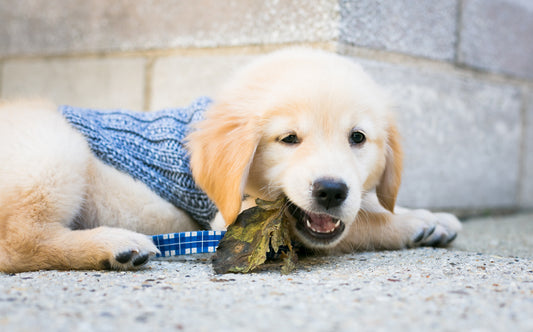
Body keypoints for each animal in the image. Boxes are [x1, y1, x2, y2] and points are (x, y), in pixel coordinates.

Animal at [0, 48, 458, 272]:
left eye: (358, 138)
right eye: (288, 139)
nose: (330, 191)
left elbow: (366, 209)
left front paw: (429, 220)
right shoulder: (233, 217)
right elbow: (368, 221)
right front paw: (415, 222)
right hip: (55, 147)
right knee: (16, 244)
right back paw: (113, 246)